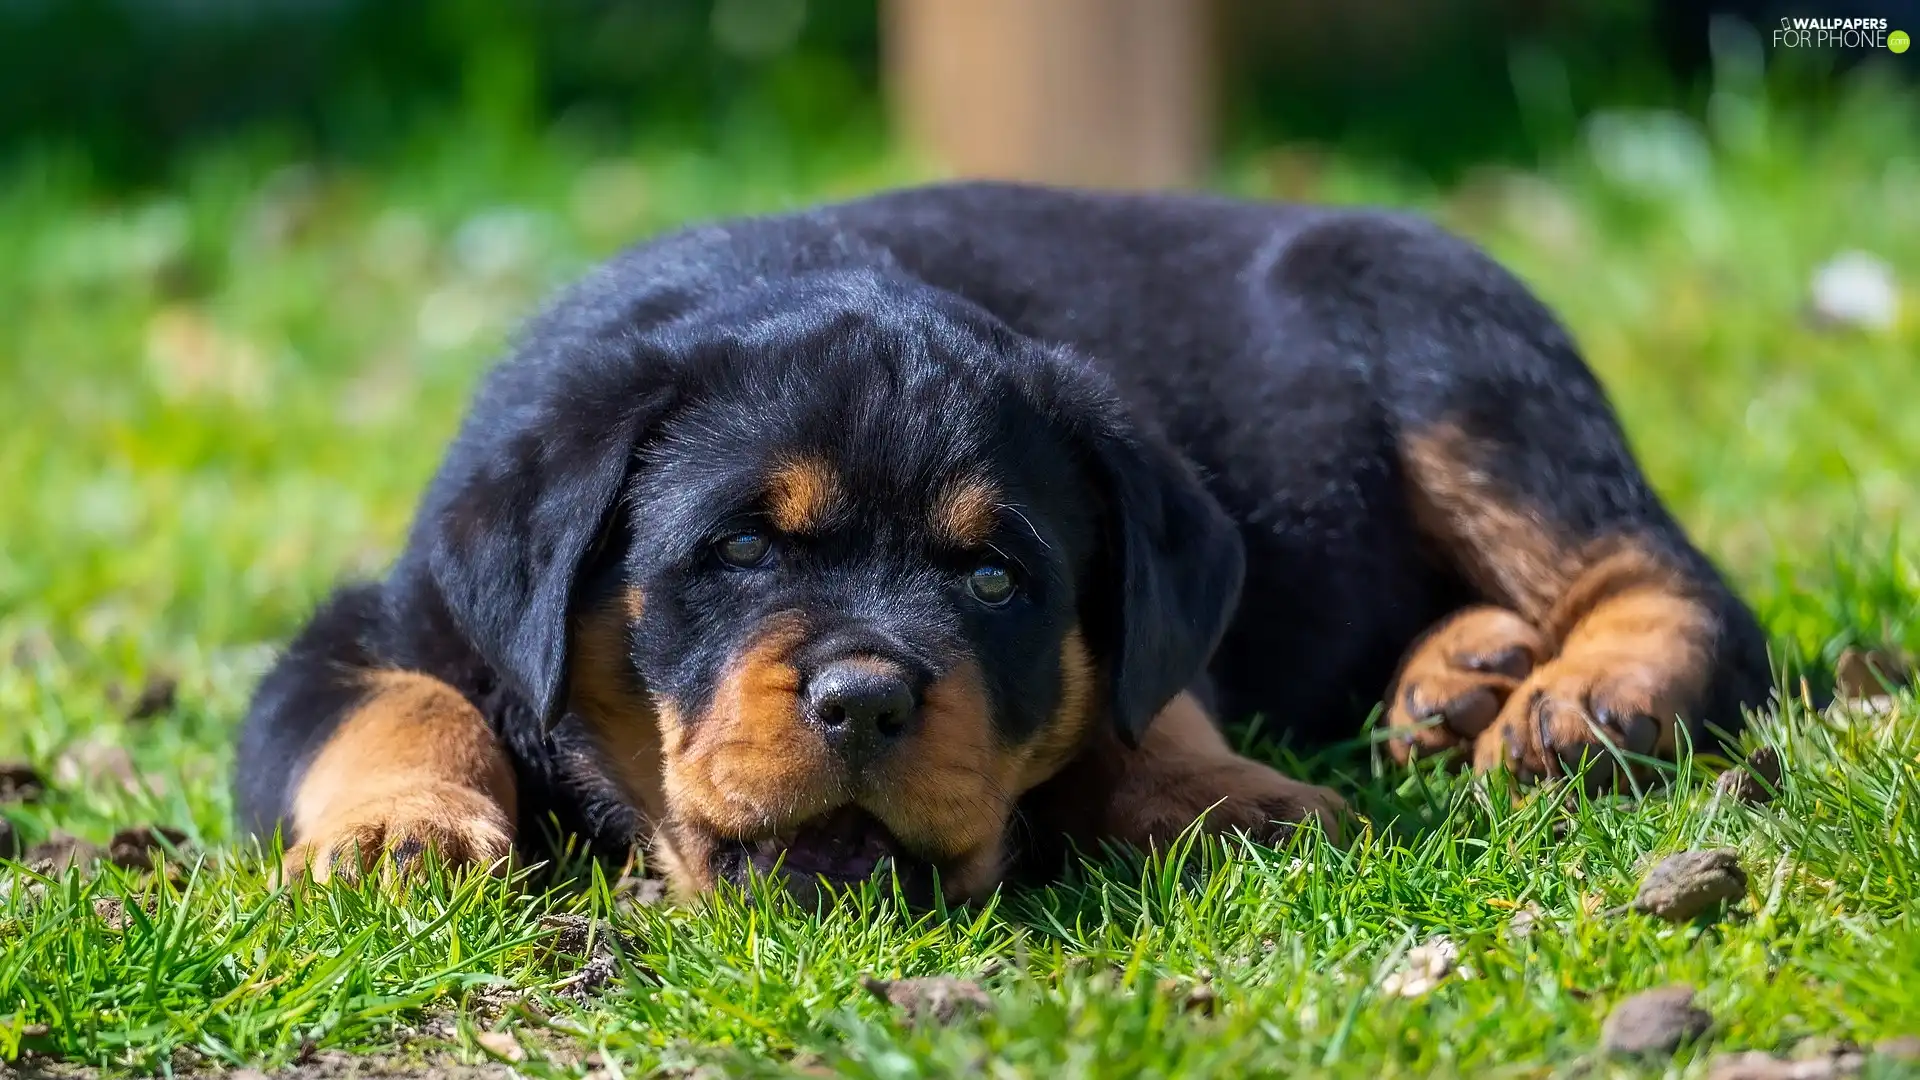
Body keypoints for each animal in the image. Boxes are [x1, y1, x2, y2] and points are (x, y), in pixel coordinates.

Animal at [232, 180, 1774, 895]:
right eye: (738, 555)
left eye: (993, 579)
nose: (865, 699)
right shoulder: (384, 620)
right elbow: (395, 706)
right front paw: (402, 832)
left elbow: (1145, 709)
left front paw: (1229, 796)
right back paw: (1465, 674)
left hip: (1444, 344)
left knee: (1667, 574)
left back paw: (1588, 691)